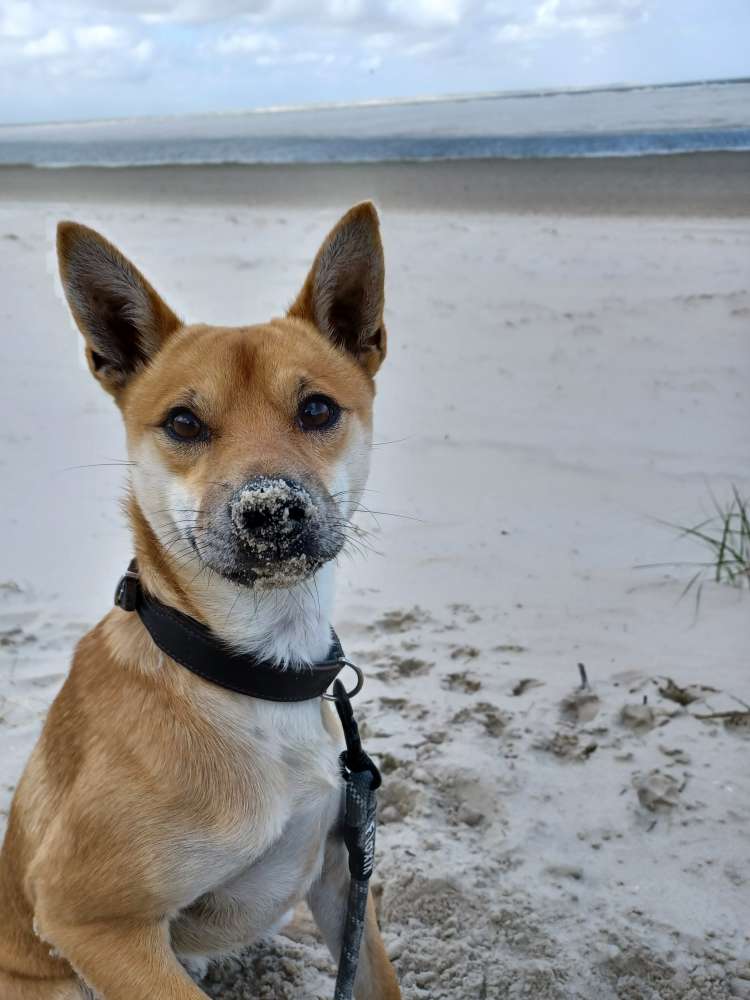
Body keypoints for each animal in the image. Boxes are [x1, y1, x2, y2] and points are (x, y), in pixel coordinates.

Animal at [0, 205, 402, 1000]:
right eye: (184, 423)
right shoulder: (89, 920)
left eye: (317, 409)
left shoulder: (344, 877)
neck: (253, 672)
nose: (270, 509)